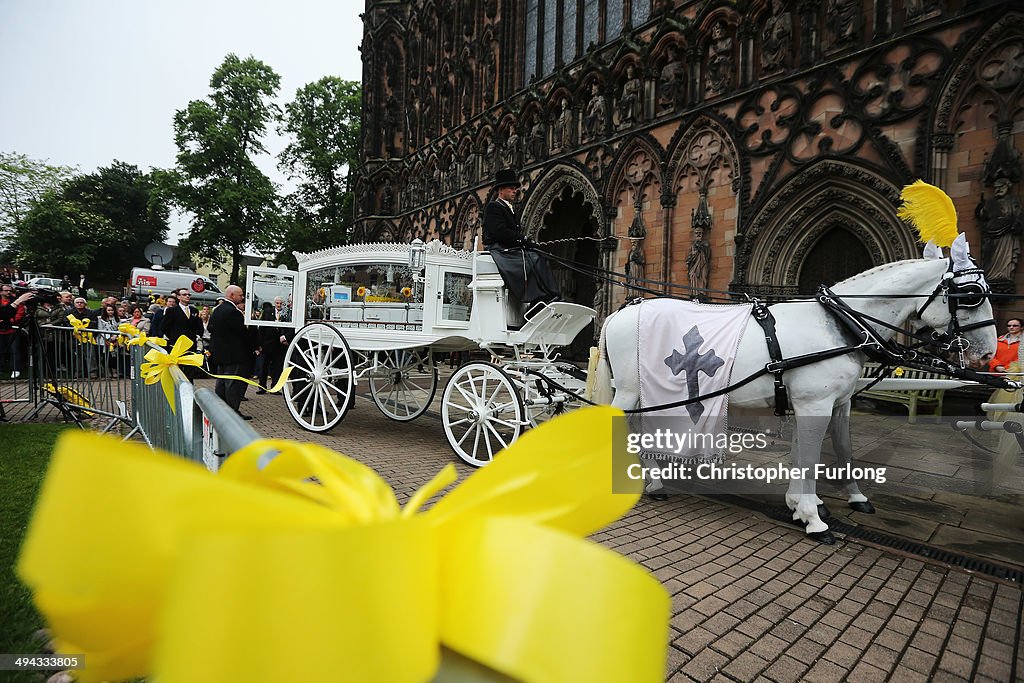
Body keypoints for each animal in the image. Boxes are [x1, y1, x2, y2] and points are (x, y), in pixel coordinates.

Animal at [598, 235, 995, 544]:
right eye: (972, 293)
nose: (988, 352)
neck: (839, 324)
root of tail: (621, 311)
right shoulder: (813, 403)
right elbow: (809, 457)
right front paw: (812, 517)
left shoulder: (835, 403)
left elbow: (835, 449)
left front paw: (821, 501)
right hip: (631, 390)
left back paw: (654, 480)